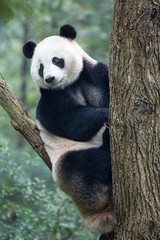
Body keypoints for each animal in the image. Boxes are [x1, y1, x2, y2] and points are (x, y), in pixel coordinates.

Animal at [22, 24, 115, 234]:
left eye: (56, 60)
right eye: (40, 67)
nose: (50, 78)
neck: (72, 83)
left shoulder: (97, 75)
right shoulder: (51, 100)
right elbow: (72, 123)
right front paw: (107, 114)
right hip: (67, 167)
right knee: (85, 165)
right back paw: (106, 142)